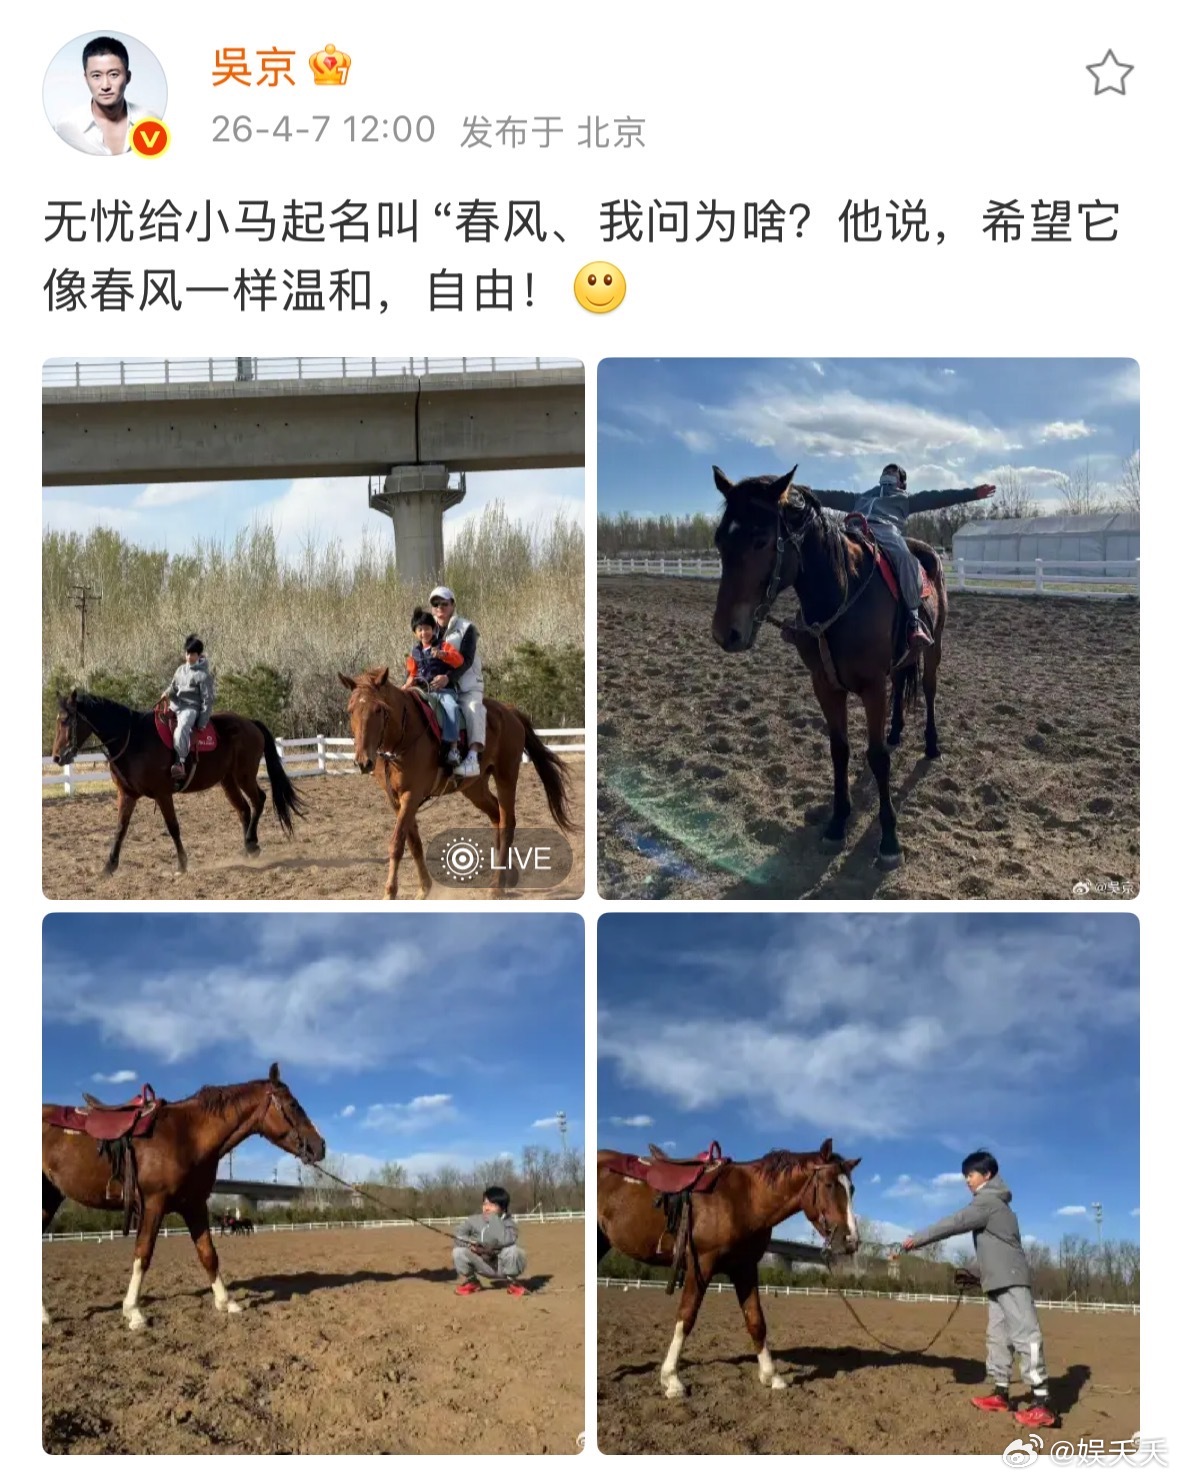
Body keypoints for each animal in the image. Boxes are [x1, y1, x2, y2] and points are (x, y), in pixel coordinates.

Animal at [43, 1064, 324, 1330]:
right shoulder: (154, 1204)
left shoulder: (194, 1205)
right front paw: (133, 1312)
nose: (320, 1146)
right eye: (293, 1105)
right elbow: (143, 1253)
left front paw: (226, 1302)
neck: (186, 1135)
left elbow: (208, 1254)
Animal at [51, 690, 307, 876]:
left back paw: (252, 844)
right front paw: (108, 867)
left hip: (244, 776)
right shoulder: (127, 795)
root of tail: (250, 723)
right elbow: (120, 829)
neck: (133, 739)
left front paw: (182, 864)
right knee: (243, 809)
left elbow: (173, 827)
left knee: (258, 801)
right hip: (228, 781)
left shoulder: (163, 794)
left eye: (67, 720)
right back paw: (247, 847)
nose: (57, 758)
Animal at [337, 667, 573, 900]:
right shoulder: (395, 799)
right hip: (475, 787)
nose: (363, 762)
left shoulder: (411, 795)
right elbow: (413, 843)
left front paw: (390, 893)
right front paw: (424, 888)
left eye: (379, 709)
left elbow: (397, 843)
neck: (404, 736)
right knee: (496, 816)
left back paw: (496, 886)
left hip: (506, 776)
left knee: (507, 823)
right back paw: (508, 875)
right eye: (350, 710)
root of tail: (509, 711)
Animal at [597, 1139, 860, 1398]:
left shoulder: (745, 1268)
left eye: (852, 1189)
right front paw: (671, 1379)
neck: (745, 1199)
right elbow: (686, 1316)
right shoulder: (702, 1264)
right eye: (828, 1184)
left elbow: (756, 1321)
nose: (852, 1241)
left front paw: (771, 1376)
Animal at [711, 466, 948, 868]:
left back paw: (930, 744)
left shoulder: (871, 688)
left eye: (760, 540)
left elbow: (877, 758)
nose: (725, 633)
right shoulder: (824, 685)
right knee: (902, 685)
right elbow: (839, 750)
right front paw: (837, 821)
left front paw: (889, 839)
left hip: (935, 648)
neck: (841, 594)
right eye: (719, 541)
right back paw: (896, 730)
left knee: (929, 691)